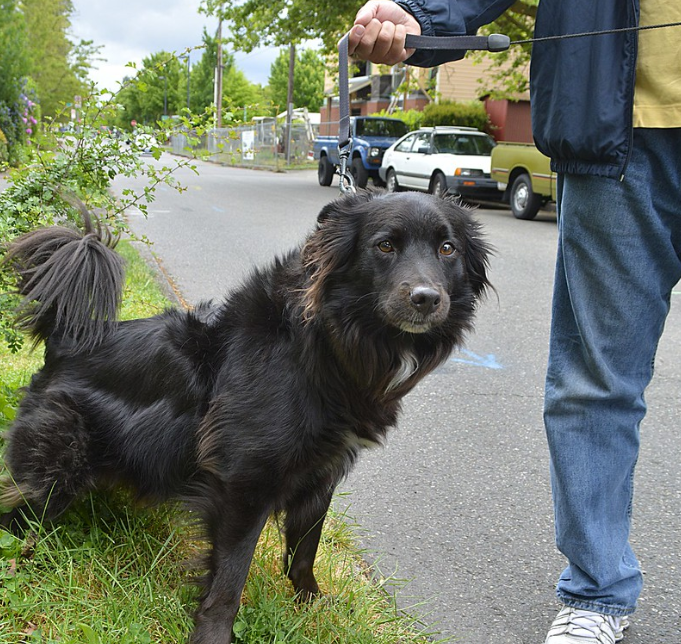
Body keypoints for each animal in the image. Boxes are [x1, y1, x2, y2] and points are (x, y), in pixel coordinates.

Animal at [0, 189, 488, 640]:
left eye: (448, 249)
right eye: (385, 245)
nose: (426, 298)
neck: (321, 341)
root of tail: (66, 341)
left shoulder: (323, 469)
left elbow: (305, 549)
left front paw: (312, 605)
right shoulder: (245, 480)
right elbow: (230, 579)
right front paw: (213, 636)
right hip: (60, 459)